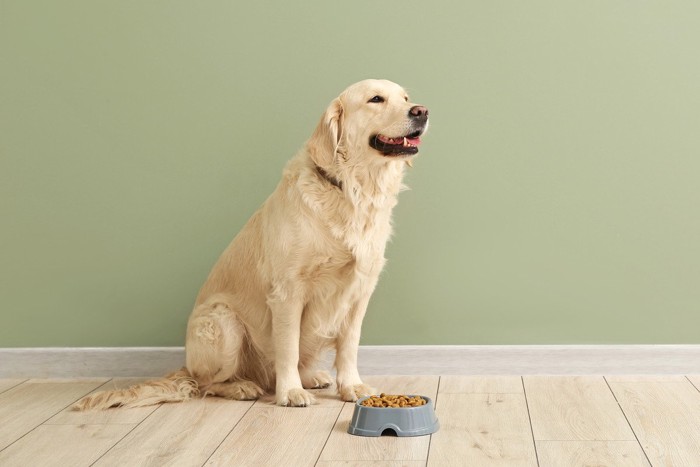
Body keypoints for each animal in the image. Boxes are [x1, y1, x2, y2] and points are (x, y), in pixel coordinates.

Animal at [74, 79, 430, 410]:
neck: (348, 189)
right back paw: (243, 386)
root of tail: (185, 365)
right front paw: (290, 393)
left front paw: (351, 386)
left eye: (406, 97)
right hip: (222, 322)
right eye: (375, 99)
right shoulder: (288, 291)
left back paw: (312, 376)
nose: (422, 111)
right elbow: (288, 347)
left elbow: (349, 346)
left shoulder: (359, 289)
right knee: (205, 383)